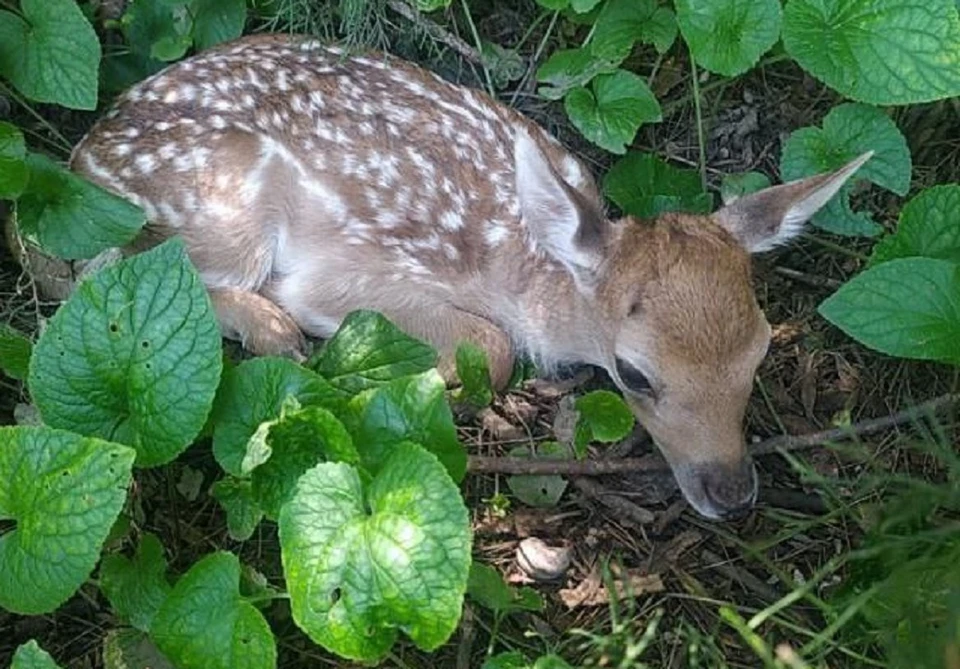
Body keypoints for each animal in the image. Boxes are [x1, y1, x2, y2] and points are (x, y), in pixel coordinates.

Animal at [15, 34, 872, 520]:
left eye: (761, 350)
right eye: (635, 373)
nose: (733, 493)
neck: (532, 278)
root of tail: (81, 158)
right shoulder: (345, 270)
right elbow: (489, 346)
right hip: (222, 206)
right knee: (109, 273)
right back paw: (276, 336)